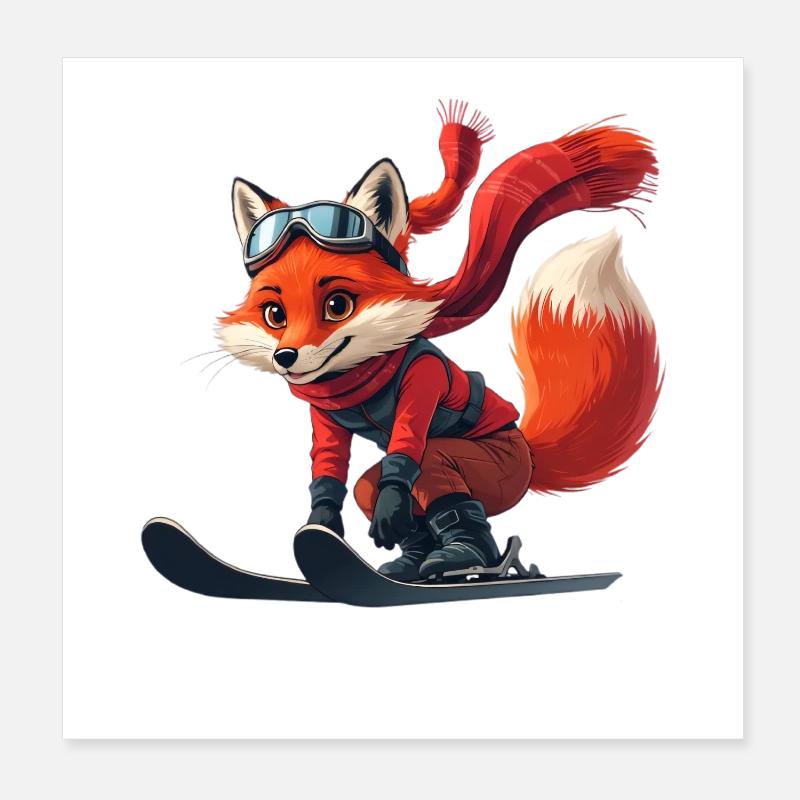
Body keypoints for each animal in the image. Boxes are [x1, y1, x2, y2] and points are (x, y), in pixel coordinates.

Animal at [218, 100, 661, 581]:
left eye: (337, 305)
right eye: (274, 315)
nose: (286, 356)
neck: (361, 376)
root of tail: (529, 453)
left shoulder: (423, 379)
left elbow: (406, 454)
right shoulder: (325, 418)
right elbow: (330, 470)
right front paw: (321, 530)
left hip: (495, 466)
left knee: (431, 470)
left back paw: (469, 558)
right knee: (375, 490)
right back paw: (415, 565)